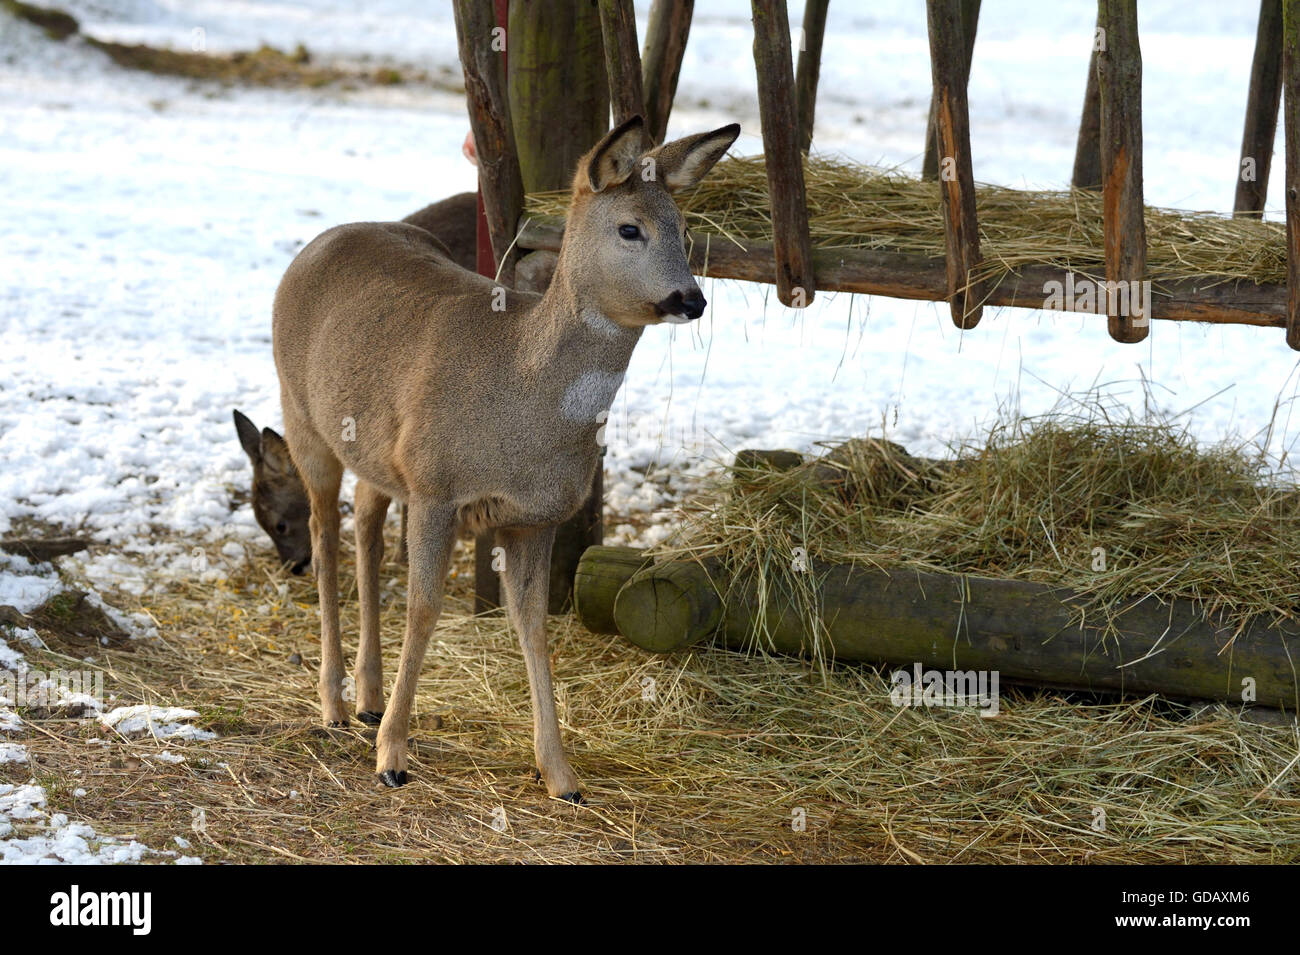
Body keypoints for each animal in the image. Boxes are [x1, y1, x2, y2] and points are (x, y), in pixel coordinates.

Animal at [271, 113, 743, 800]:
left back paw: (367, 698)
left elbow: (535, 625)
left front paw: (561, 774)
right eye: (630, 228)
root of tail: (324, 238)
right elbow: (424, 608)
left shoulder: (534, 515)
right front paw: (392, 758)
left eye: (686, 232)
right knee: (323, 529)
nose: (692, 299)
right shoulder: (435, 485)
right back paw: (333, 704)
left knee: (365, 525)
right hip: (301, 414)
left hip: (378, 452)